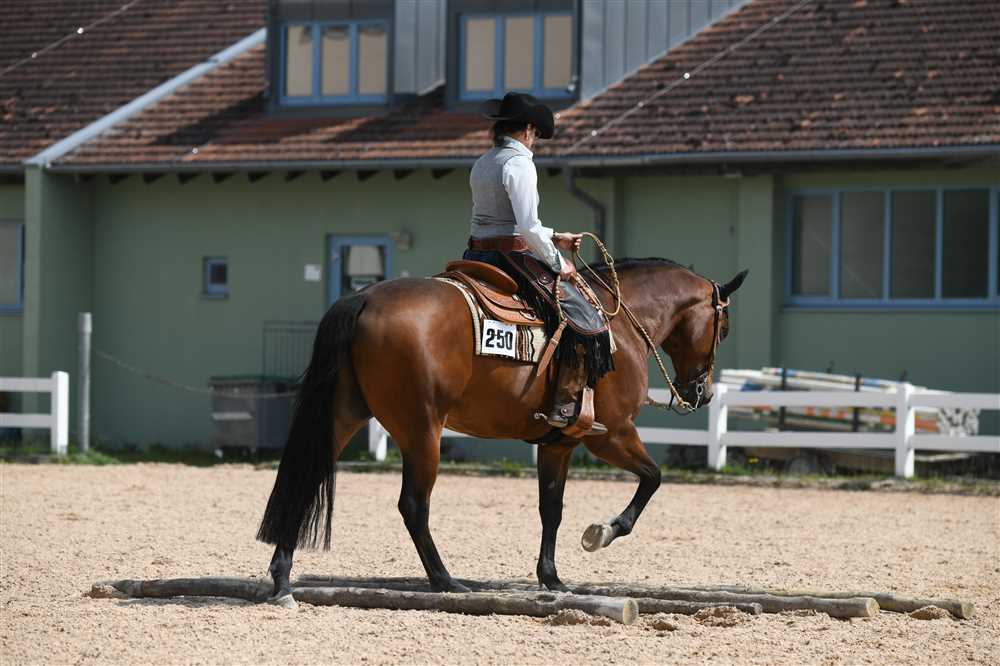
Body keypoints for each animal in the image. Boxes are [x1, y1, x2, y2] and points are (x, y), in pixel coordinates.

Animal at [256, 257, 747, 603]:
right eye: (723, 327)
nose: (701, 392)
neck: (621, 324)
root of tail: (364, 299)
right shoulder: (610, 435)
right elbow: (653, 478)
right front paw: (603, 532)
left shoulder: (559, 445)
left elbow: (552, 508)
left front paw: (551, 578)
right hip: (422, 430)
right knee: (414, 505)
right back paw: (445, 581)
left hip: (343, 417)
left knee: (304, 481)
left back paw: (282, 579)